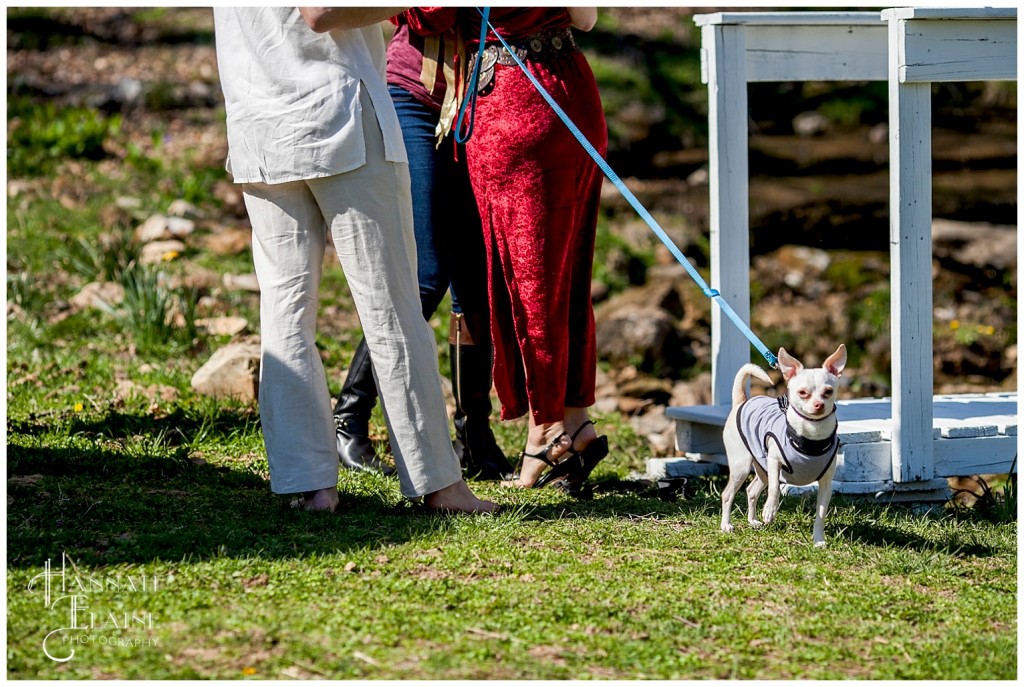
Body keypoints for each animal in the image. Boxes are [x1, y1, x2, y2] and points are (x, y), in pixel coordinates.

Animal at [720, 344, 847, 548]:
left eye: (828, 392)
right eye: (802, 393)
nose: (819, 404)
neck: (811, 437)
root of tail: (742, 402)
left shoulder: (826, 484)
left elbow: (820, 514)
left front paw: (818, 540)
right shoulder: (774, 462)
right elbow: (774, 489)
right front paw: (770, 510)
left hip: (761, 468)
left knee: (751, 490)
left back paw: (752, 521)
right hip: (742, 467)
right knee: (727, 494)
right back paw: (726, 525)